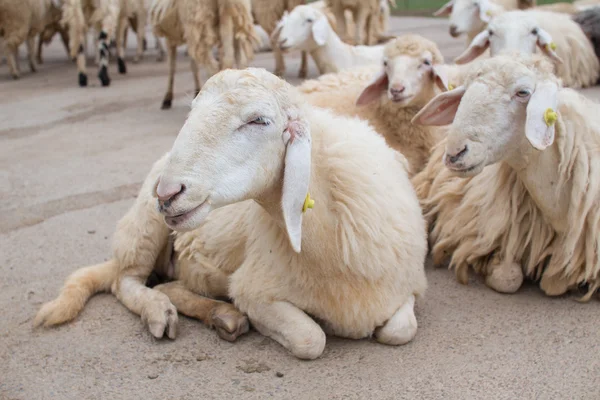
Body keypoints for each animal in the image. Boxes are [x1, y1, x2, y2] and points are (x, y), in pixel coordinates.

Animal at [34, 66, 426, 360]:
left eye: (258, 120)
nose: (168, 193)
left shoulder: (409, 285)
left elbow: (401, 330)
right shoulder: (255, 290)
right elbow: (310, 340)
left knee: (167, 282)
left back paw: (219, 314)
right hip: (144, 226)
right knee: (125, 281)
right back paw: (161, 310)